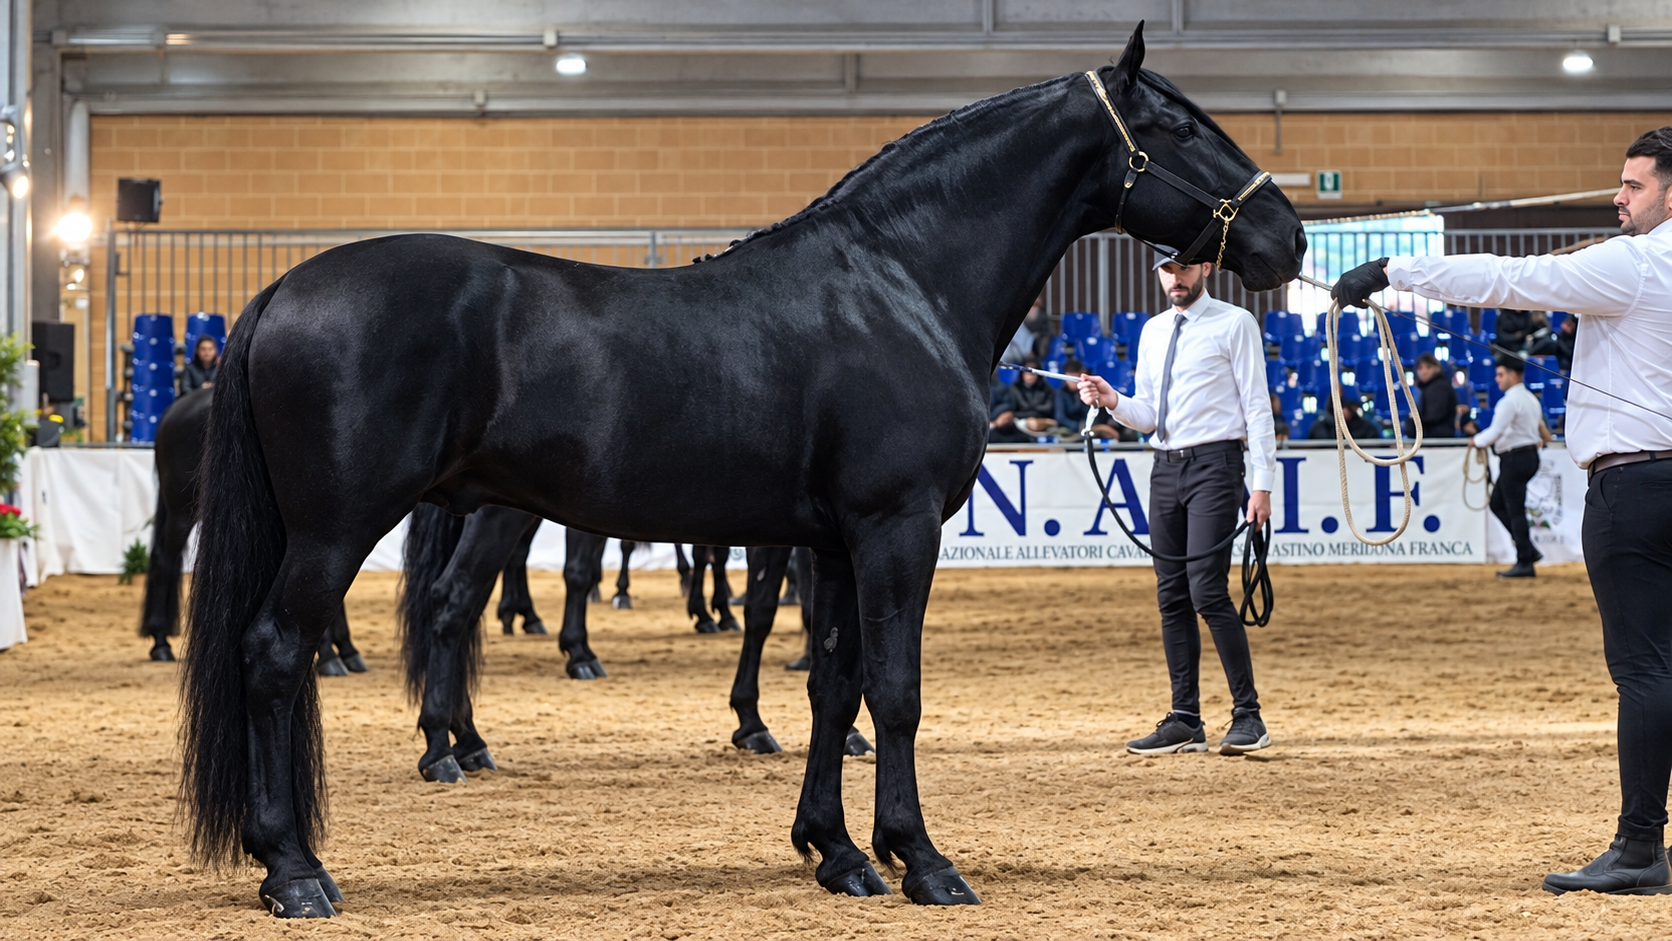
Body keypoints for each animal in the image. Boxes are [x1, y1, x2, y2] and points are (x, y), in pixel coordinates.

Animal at [179, 25, 1305, 915]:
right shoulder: (895, 527)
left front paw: (839, 851)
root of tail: (281, 288)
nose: (1288, 238)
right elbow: (896, 690)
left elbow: (837, 686)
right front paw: (923, 859)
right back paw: (297, 868)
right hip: (337, 526)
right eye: (1179, 129)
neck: (901, 279)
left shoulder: (835, 542)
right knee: (276, 651)